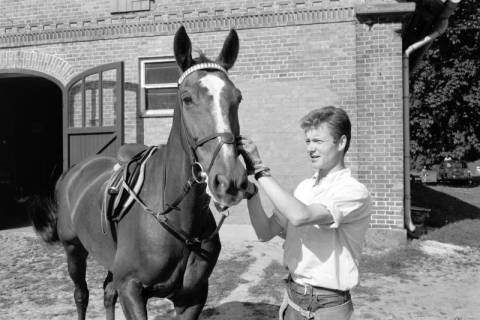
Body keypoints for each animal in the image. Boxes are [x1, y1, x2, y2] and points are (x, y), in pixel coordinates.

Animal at [28, 25, 248, 320]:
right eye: (187, 99)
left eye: (237, 98)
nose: (229, 180)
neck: (177, 218)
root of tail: (73, 172)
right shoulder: (131, 290)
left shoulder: (193, 297)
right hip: (73, 250)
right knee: (81, 295)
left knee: (107, 292)